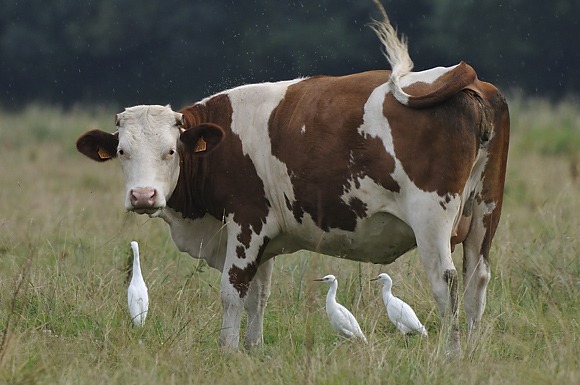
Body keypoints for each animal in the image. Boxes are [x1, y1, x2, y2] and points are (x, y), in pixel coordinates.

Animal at [76, 15, 508, 352]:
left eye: (171, 151)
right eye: (122, 152)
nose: (143, 195)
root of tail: (472, 83)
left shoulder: (246, 224)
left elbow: (233, 292)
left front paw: (228, 350)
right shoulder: (263, 237)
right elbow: (259, 296)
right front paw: (252, 350)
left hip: (432, 218)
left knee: (446, 283)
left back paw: (450, 354)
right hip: (484, 215)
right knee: (477, 281)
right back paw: (470, 351)